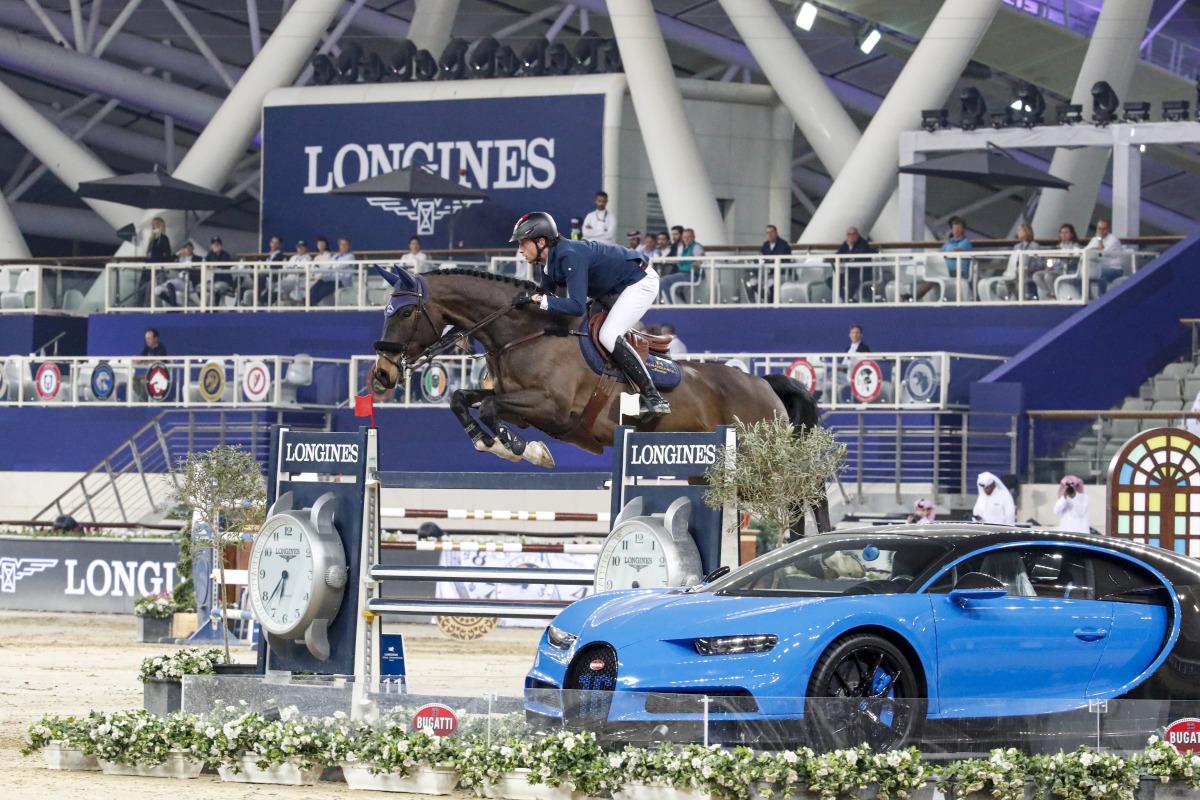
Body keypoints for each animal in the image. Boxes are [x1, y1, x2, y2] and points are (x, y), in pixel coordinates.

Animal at [374, 266, 835, 534]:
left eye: (405, 313)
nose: (382, 375)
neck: (525, 332)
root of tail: (763, 382)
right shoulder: (514, 399)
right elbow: (462, 399)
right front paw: (491, 442)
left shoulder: (551, 409)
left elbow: (489, 408)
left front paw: (522, 449)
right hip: (707, 472)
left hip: (759, 463)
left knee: (805, 492)